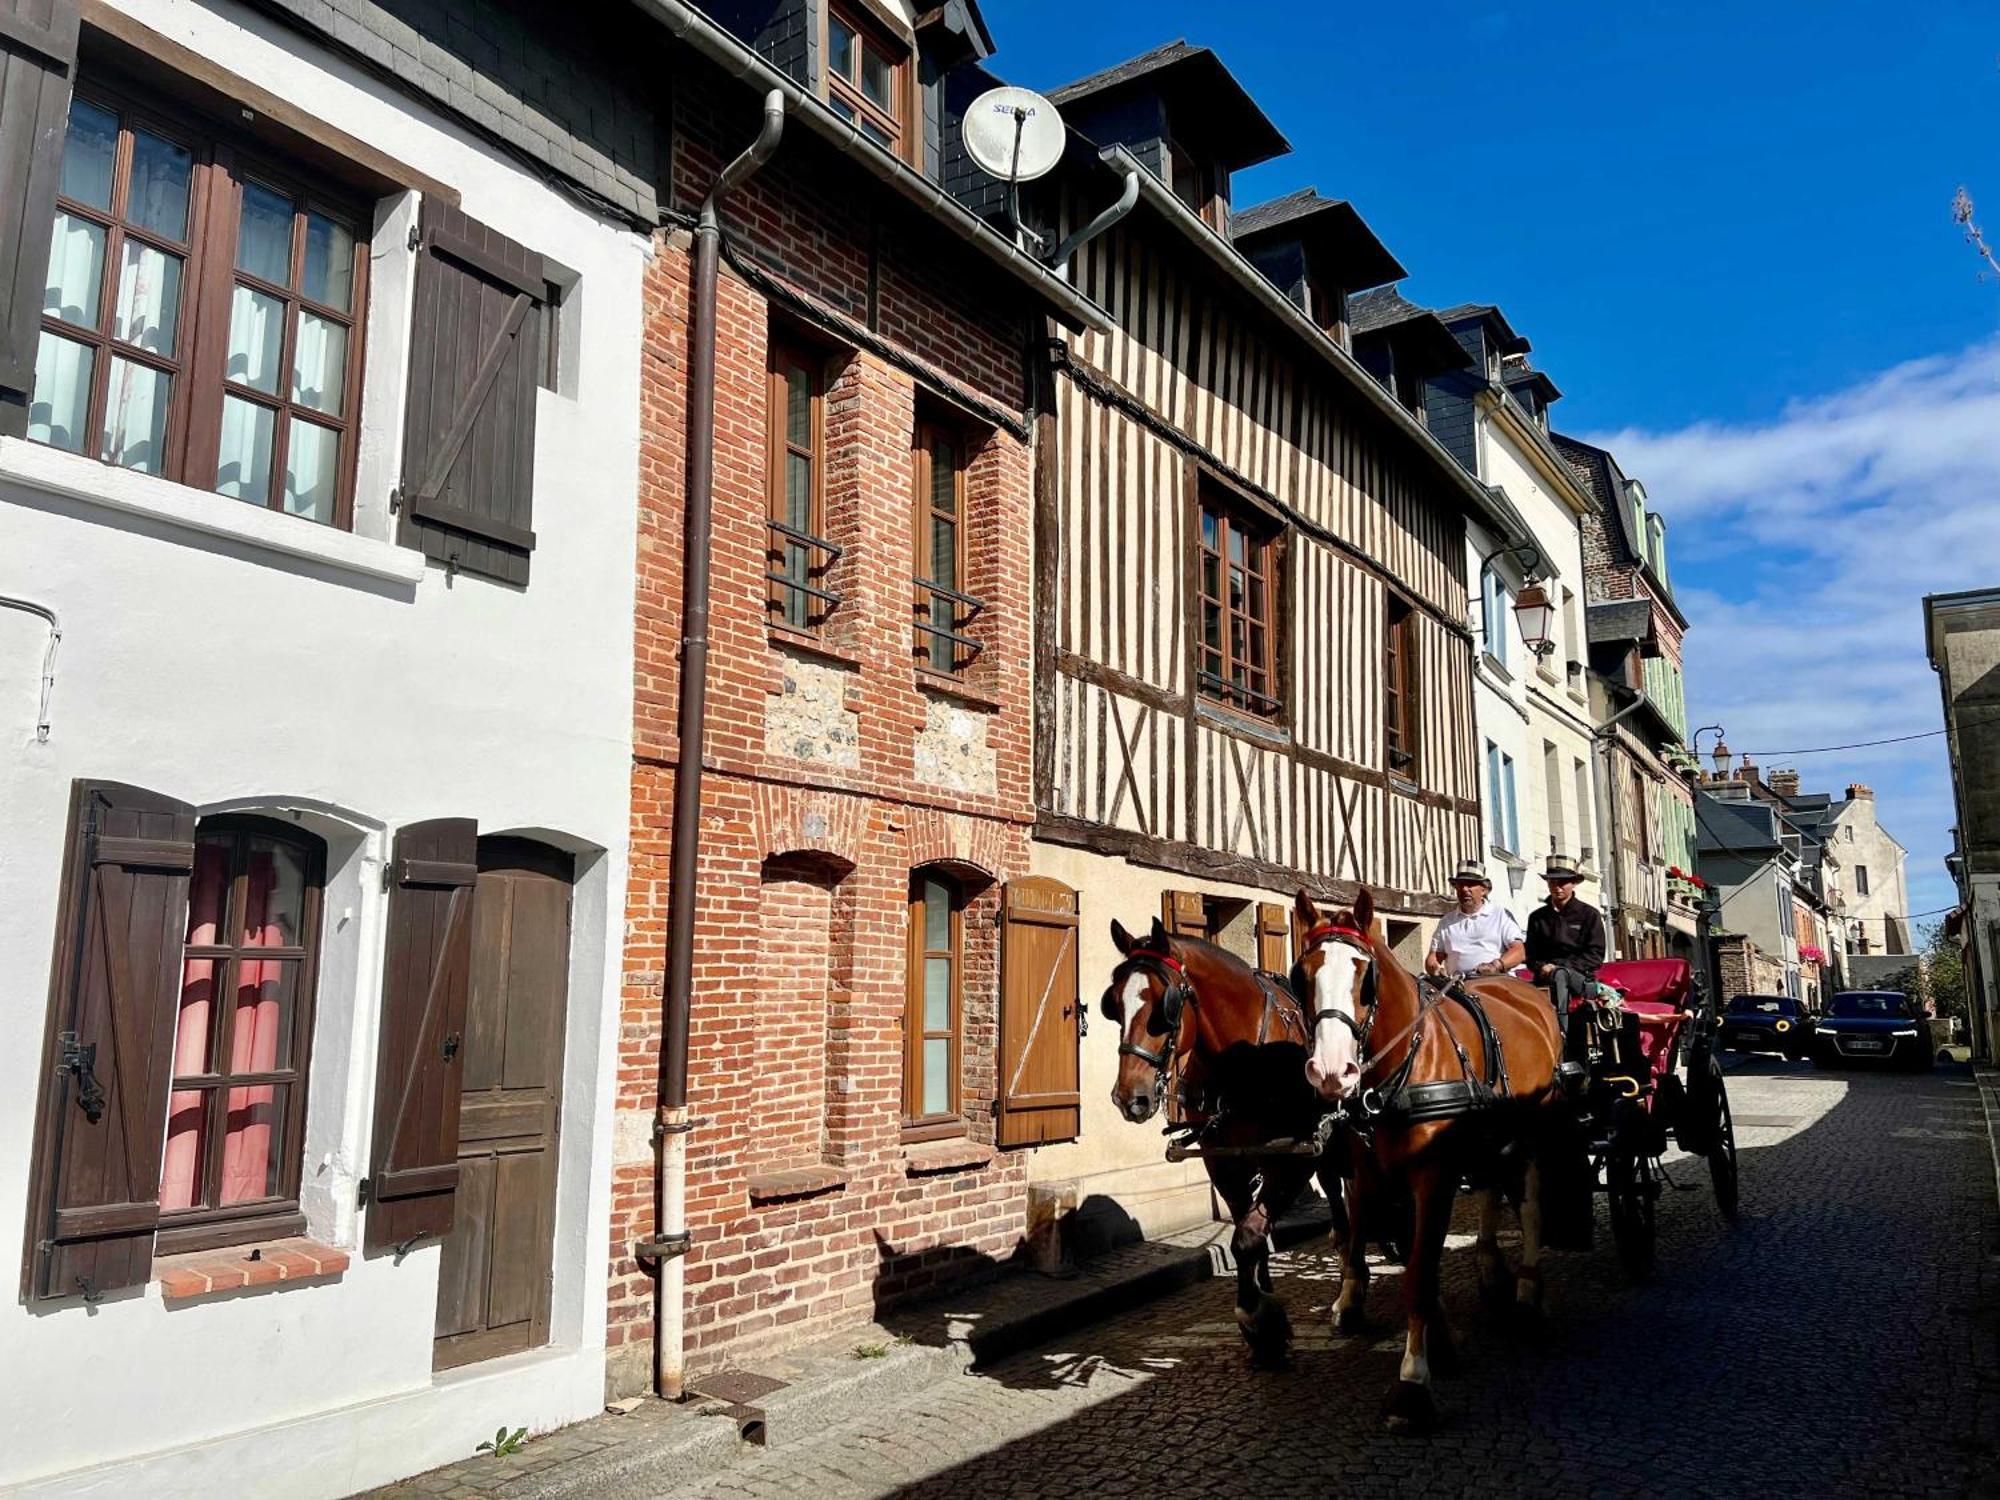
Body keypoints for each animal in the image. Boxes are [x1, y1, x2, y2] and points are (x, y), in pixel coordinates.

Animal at [1104, 916, 1352, 1376]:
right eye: (1113, 1004)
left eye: (1165, 1006)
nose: (1131, 1097)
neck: (1243, 1064)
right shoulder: (1224, 1163)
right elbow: (1247, 1234)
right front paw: (1262, 1314)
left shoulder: (1291, 1159)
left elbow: (1248, 1236)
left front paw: (1259, 1321)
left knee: (1344, 1205)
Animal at [1296, 888, 1560, 1440]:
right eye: (1302, 973)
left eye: (1365, 975)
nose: (1330, 1072)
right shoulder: (1367, 1171)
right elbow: (1362, 1234)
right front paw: (1353, 1300)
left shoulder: (1432, 1176)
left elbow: (1418, 1272)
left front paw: (1413, 1382)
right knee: (1490, 1189)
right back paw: (1490, 1266)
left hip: (1535, 1131)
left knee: (1529, 1205)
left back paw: (1528, 1290)